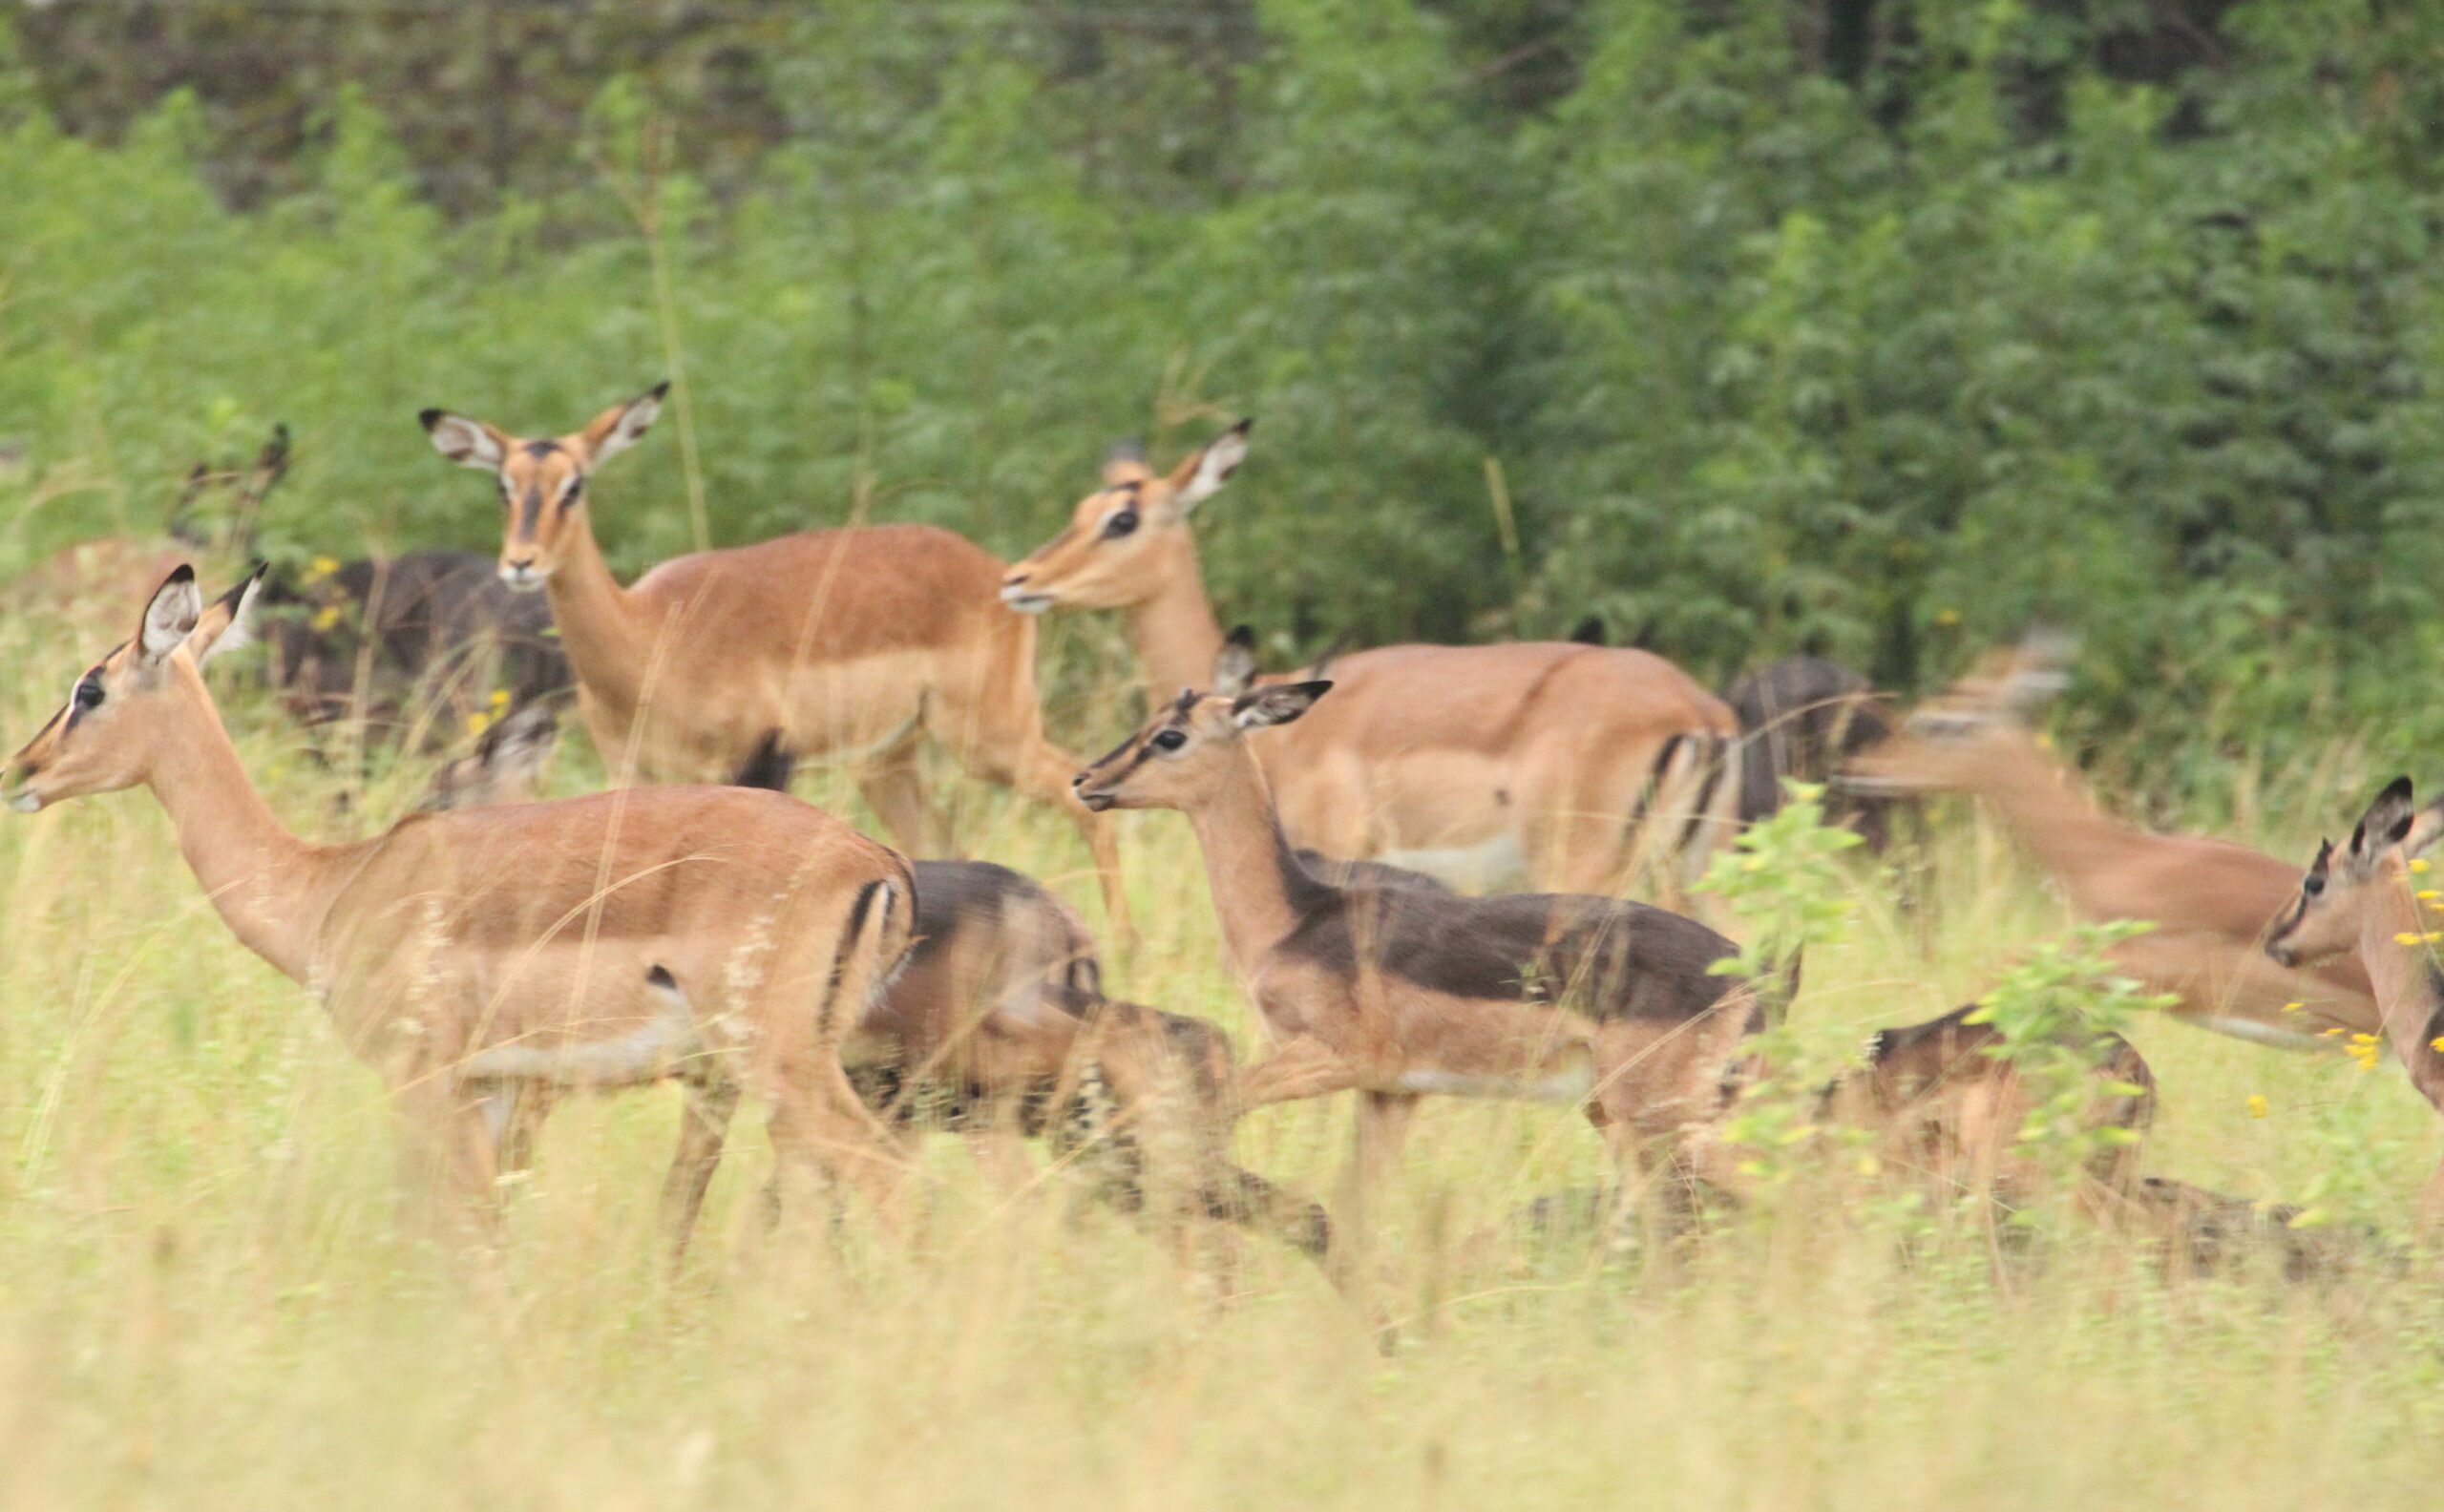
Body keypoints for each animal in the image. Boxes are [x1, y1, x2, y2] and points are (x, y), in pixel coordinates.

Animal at [3, 565, 921, 1255]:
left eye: (90, 689)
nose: (21, 769)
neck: (334, 886)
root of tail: (875, 861)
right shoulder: (496, 1088)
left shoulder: (423, 1080)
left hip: (779, 1065)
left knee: (888, 1182)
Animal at [418, 385, 1129, 937]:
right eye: (503, 485)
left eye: (575, 484)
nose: (520, 563)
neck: (649, 634)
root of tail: (996, 574)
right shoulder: (636, 771)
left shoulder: (759, 760)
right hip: (889, 762)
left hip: (989, 740)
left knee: (1080, 798)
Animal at [1002, 424, 1741, 897]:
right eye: (1083, 508)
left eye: (1122, 521)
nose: (1019, 578)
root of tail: (1698, 711)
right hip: (1699, 873)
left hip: (1585, 873)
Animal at [1069, 680, 1775, 1246]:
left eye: (1170, 735)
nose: (1085, 780)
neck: (1295, 920)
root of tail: (1751, 979)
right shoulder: (1392, 1092)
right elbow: (1359, 1200)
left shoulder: (1334, 1059)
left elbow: (1204, 1105)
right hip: (1628, 1116)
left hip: (1664, 1119)